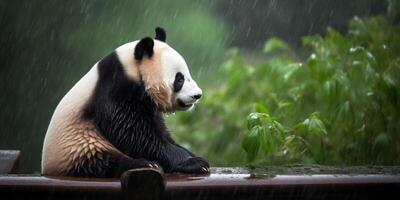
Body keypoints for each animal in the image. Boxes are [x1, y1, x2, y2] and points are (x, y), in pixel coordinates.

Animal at [40, 27, 209, 177]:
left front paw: (190, 154)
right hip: (79, 144)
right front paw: (195, 162)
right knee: (101, 161)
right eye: (179, 79)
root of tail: (48, 169)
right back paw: (143, 163)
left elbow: (158, 130)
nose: (197, 95)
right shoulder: (113, 87)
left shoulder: (146, 102)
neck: (130, 67)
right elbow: (132, 132)